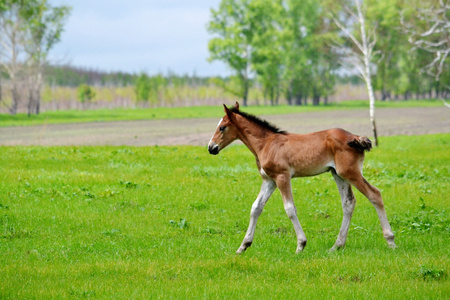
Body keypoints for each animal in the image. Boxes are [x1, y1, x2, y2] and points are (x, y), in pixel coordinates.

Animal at [208, 102, 398, 253]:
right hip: (338, 174)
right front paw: (243, 246)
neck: (266, 143)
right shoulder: (269, 180)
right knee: (348, 203)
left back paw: (390, 241)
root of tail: (355, 137)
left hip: (351, 173)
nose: (211, 147)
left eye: (222, 127)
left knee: (374, 194)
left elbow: (290, 209)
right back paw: (336, 246)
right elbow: (256, 208)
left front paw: (301, 245)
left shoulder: (282, 177)